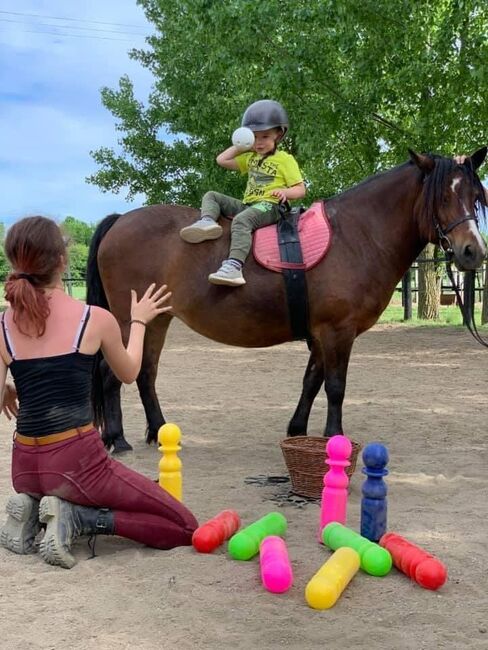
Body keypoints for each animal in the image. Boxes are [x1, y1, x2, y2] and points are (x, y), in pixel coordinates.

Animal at [86, 148, 486, 450]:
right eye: (443, 196)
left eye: (475, 197)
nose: (473, 252)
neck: (355, 235)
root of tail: (120, 220)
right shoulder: (337, 331)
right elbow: (335, 387)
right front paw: (334, 437)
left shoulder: (322, 333)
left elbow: (312, 381)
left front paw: (297, 431)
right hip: (128, 318)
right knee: (111, 370)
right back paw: (117, 439)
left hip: (157, 317)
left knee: (145, 371)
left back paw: (158, 431)